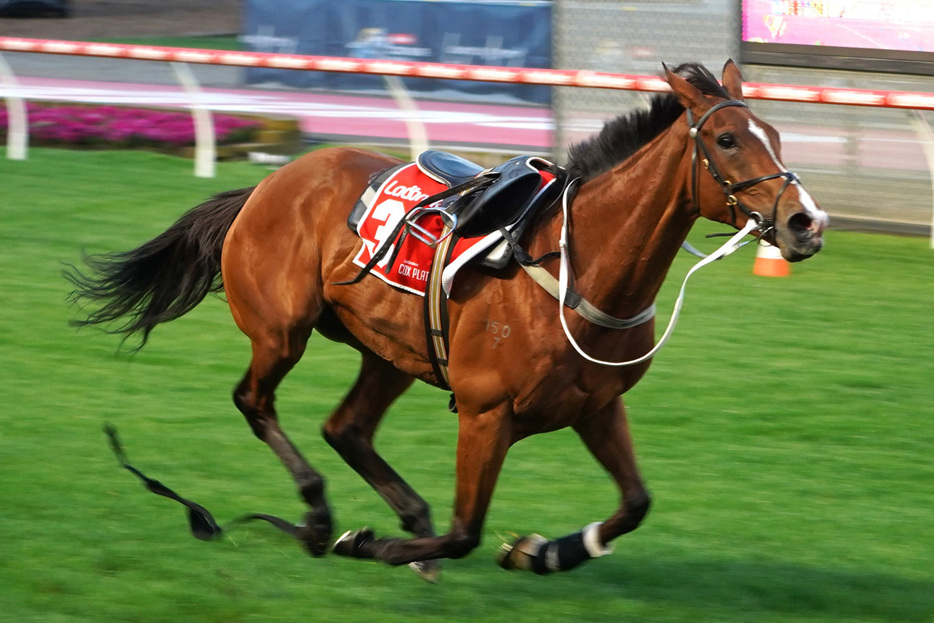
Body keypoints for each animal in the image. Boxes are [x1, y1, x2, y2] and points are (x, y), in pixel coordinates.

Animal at [64, 62, 828, 580]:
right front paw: (372, 544)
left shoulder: (596, 403)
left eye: (774, 132)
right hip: (281, 330)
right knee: (255, 401)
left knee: (346, 427)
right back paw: (319, 517)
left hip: (389, 352)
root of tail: (270, 182)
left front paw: (539, 552)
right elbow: (466, 530)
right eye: (726, 139)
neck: (580, 272)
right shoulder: (487, 412)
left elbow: (635, 502)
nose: (805, 223)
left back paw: (399, 515)